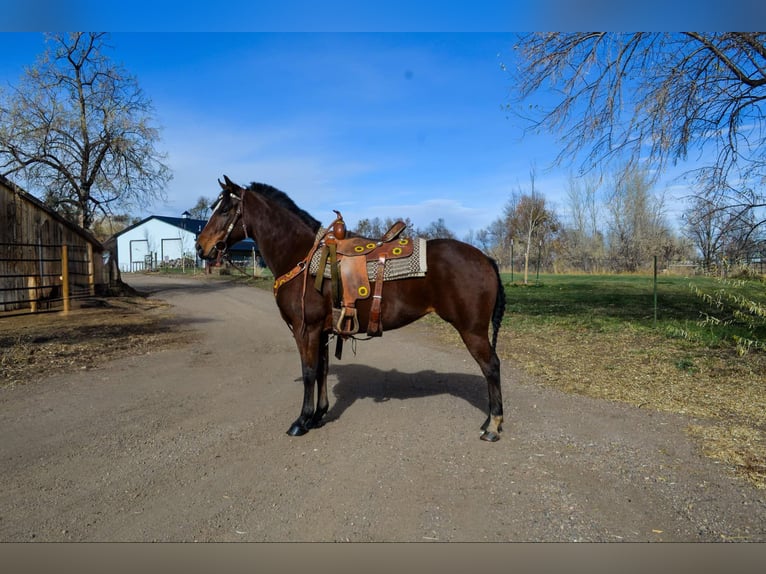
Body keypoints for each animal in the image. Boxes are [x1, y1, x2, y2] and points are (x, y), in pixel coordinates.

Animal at [196, 175, 506, 441]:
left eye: (226, 209)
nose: (201, 248)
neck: (301, 256)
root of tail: (486, 258)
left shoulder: (305, 330)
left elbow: (309, 372)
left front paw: (301, 421)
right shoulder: (321, 331)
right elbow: (321, 370)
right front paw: (318, 415)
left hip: (472, 331)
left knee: (491, 367)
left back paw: (493, 425)